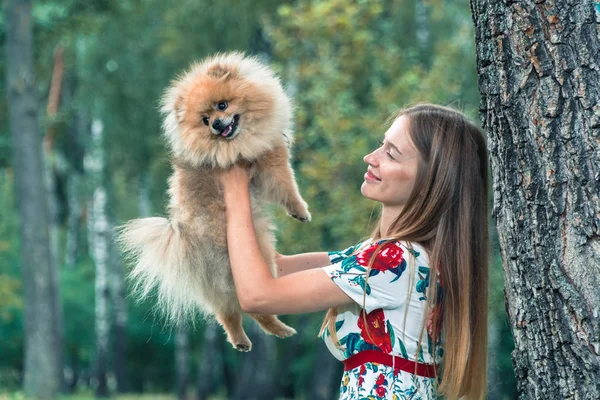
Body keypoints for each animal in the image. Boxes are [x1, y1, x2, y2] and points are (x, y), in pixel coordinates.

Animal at [119, 52, 312, 350]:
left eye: (223, 105)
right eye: (205, 119)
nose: (217, 125)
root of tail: (188, 242)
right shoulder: (272, 165)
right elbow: (287, 186)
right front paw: (301, 210)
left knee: (227, 310)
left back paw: (243, 339)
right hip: (257, 255)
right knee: (252, 305)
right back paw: (278, 330)